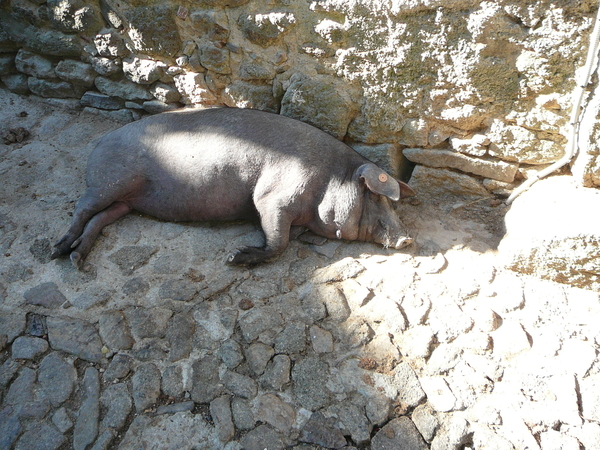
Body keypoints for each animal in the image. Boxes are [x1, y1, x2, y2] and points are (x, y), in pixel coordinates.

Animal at [51, 106, 414, 268]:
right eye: (378, 198)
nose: (408, 238)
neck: (329, 179)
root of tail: (100, 142)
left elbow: (284, 240)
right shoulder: (271, 197)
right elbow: (278, 241)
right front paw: (234, 258)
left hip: (125, 201)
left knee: (101, 219)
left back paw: (77, 258)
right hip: (109, 182)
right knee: (82, 210)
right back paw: (58, 250)